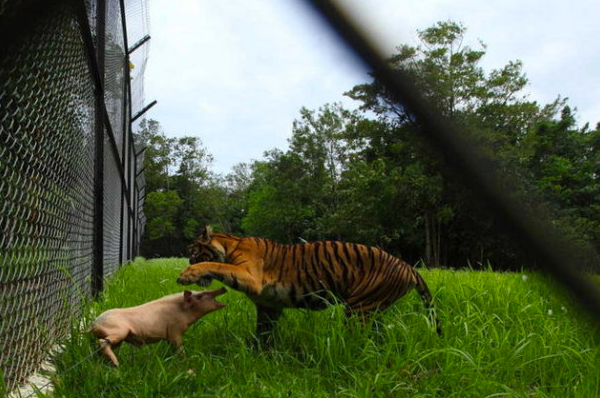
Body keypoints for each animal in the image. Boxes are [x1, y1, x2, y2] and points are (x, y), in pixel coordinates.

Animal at [89, 286, 227, 366]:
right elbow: (179, 347)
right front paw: (185, 362)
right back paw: (117, 364)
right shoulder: (174, 331)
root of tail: (94, 324)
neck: (183, 313)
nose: (223, 288)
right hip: (119, 331)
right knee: (102, 342)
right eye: (199, 296)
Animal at [177, 225, 440, 340]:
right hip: (373, 311)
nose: (187, 259)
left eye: (193, 252)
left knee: (359, 339)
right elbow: (263, 334)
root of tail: (409, 267)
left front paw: (187, 274)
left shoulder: (251, 276)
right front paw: (258, 354)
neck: (229, 245)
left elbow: (218, 265)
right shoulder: (268, 307)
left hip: (358, 309)